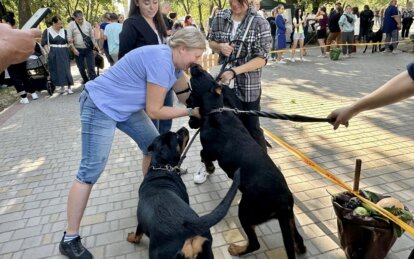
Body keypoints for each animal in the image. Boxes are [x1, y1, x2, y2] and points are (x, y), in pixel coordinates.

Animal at [128, 128, 241, 259]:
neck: (162, 167)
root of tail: (188, 227)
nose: (184, 128)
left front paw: (131, 238)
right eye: (177, 136)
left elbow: (137, 235)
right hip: (206, 250)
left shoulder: (141, 223)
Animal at [186, 65, 306, 259]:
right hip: (288, 217)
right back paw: (298, 246)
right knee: (299, 239)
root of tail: (282, 202)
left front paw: (209, 168)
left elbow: (203, 154)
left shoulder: (210, 149)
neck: (216, 110)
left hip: (246, 211)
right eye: (211, 76)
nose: (195, 65)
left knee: (255, 243)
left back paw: (237, 249)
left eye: (201, 76)